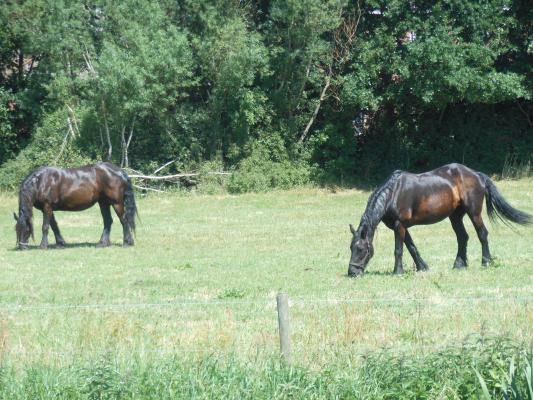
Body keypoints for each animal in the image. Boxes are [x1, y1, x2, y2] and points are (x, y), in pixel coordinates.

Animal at [348, 164, 528, 276]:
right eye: (351, 248)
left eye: (361, 249)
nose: (352, 273)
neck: (393, 193)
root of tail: (477, 175)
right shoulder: (400, 226)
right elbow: (411, 247)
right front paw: (423, 267)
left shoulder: (399, 225)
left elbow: (399, 249)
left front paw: (397, 271)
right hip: (455, 216)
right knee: (463, 237)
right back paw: (459, 264)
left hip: (474, 213)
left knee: (482, 234)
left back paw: (486, 262)